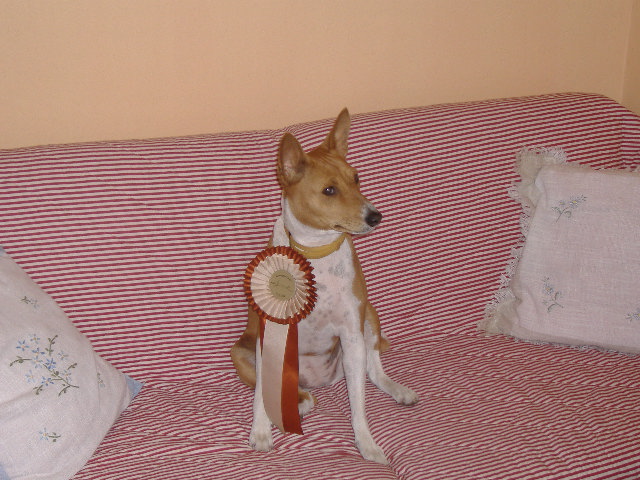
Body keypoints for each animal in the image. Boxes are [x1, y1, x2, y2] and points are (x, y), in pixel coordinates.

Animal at [231, 108, 418, 464]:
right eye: (329, 190)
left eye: (356, 178)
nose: (375, 216)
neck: (315, 253)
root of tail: (317, 380)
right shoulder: (269, 334)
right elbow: (260, 395)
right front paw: (260, 432)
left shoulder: (352, 333)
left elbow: (359, 406)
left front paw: (366, 443)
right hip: (242, 352)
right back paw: (301, 401)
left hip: (368, 319)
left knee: (373, 371)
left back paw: (398, 390)